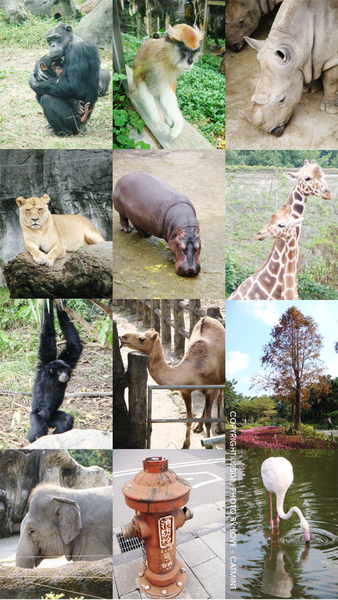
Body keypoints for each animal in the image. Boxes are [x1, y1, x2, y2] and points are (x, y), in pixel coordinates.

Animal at [27, 300, 83, 446]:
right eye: (59, 371)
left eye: (65, 370)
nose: (64, 375)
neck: (53, 378)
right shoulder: (45, 364)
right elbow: (48, 333)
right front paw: (49, 301)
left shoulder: (67, 360)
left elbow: (75, 345)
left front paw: (60, 306)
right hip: (35, 415)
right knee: (40, 427)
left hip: (53, 416)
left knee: (66, 419)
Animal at [120, 316, 226, 448]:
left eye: (142, 339)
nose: (122, 337)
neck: (192, 371)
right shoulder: (185, 391)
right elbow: (188, 418)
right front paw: (185, 445)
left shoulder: (210, 389)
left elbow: (208, 420)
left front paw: (209, 445)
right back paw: (198, 427)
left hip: (221, 378)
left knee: (219, 398)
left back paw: (219, 428)